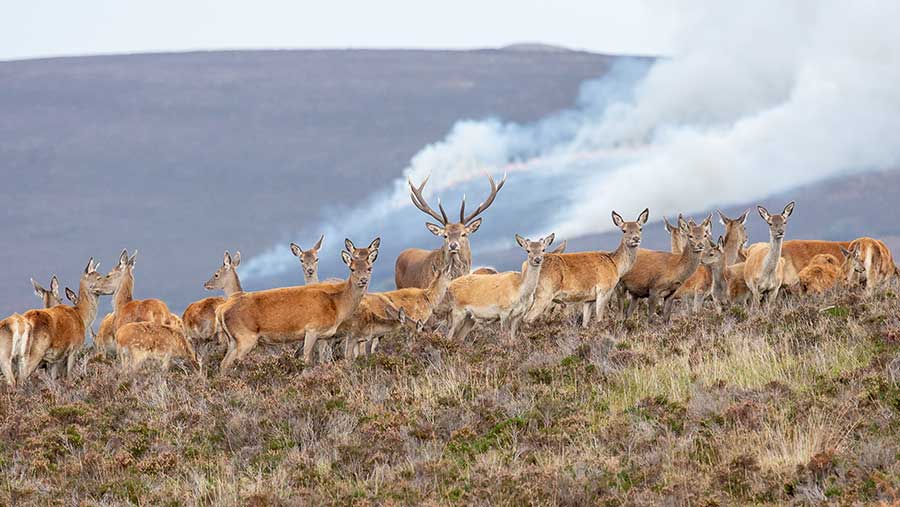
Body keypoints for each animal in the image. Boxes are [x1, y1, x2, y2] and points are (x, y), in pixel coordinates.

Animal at [216, 238, 379, 372]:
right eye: (352, 269)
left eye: (369, 268)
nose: (363, 280)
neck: (337, 307)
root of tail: (222, 309)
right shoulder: (312, 329)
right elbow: (307, 361)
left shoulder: (325, 336)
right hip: (245, 337)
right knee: (233, 363)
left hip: (233, 340)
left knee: (223, 364)